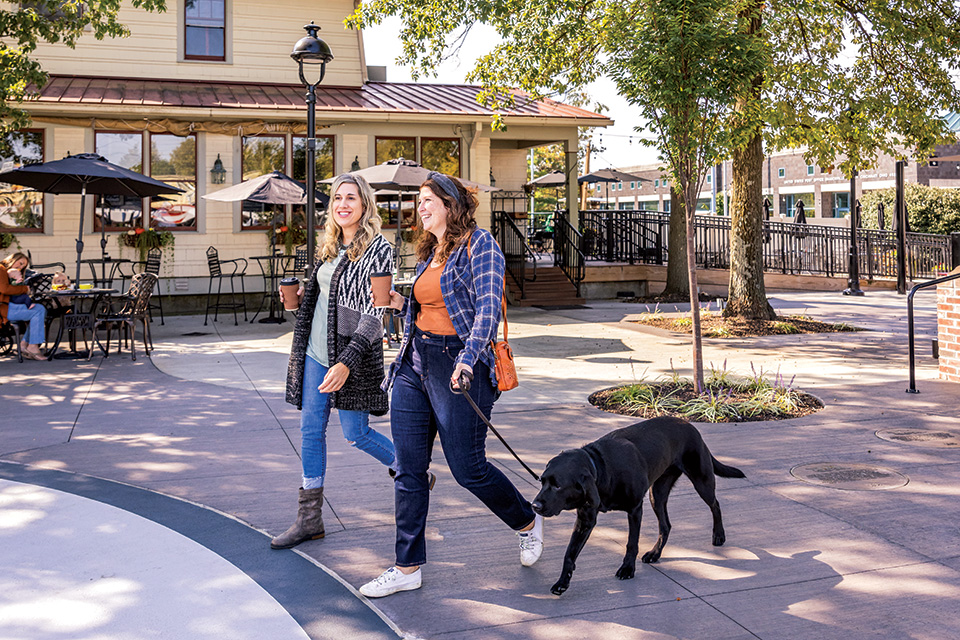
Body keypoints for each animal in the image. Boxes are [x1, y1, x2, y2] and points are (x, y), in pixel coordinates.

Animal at [532, 416, 744, 596]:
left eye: (558, 486)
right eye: (542, 481)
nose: (535, 506)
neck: (601, 467)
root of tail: (689, 424)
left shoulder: (635, 509)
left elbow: (631, 543)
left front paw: (627, 569)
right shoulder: (585, 518)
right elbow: (570, 553)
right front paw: (562, 581)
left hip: (701, 480)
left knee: (715, 505)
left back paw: (719, 535)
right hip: (657, 494)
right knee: (666, 525)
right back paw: (655, 553)